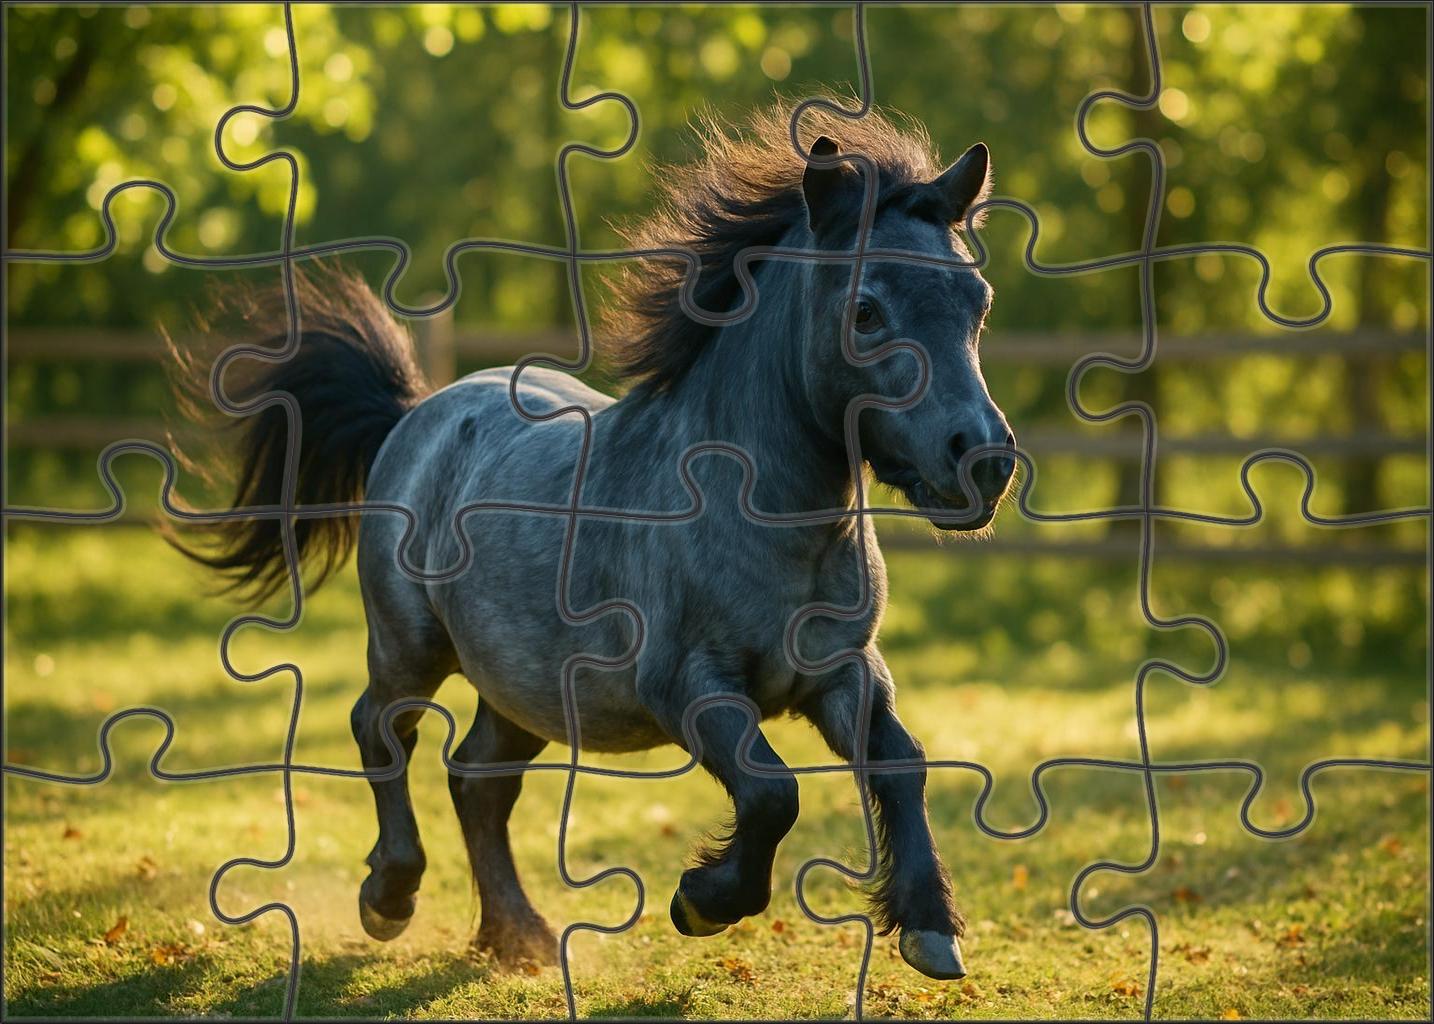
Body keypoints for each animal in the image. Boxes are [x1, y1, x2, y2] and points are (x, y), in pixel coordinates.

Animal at [175, 103, 1015, 982]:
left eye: (977, 303)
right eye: (866, 311)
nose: (984, 461)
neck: (760, 514)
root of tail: (414, 414)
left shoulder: (844, 670)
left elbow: (902, 763)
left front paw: (930, 927)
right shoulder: (688, 685)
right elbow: (772, 792)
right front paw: (702, 902)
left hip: (521, 685)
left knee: (477, 779)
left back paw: (518, 935)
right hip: (410, 646)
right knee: (382, 728)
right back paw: (391, 897)